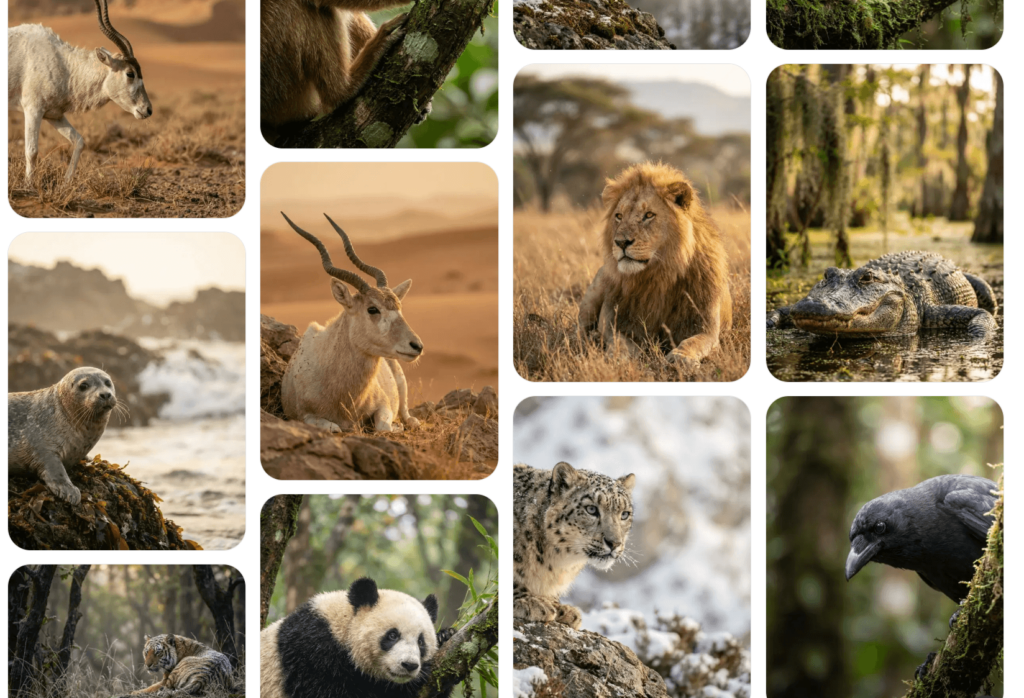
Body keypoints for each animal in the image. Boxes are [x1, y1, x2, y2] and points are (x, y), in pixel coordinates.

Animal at [577, 162, 732, 370]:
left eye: (649, 215)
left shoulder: (707, 327)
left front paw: (680, 358)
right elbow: (619, 341)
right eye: (619, 216)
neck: (658, 275)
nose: (621, 242)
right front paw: (617, 357)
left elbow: (693, 341)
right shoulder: (614, 320)